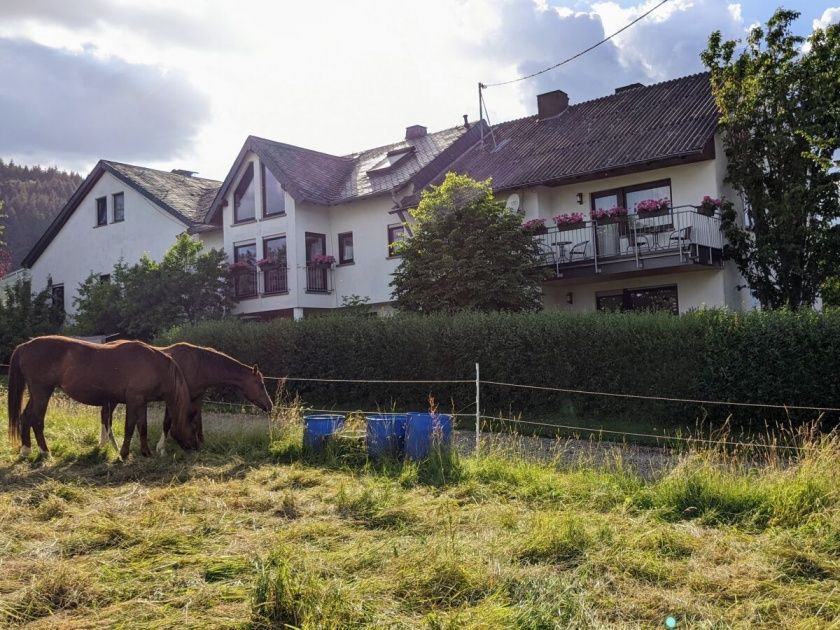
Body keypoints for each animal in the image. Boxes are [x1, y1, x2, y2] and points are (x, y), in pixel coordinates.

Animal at [7, 336, 197, 460]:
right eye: (192, 425)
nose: (195, 447)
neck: (155, 366)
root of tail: (25, 346)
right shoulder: (133, 401)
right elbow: (130, 427)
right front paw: (123, 454)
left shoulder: (142, 402)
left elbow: (142, 427)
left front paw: (146, 453)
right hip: (42, 392)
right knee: (37, 420)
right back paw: (45, 452)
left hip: (37, 393)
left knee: (26, 417)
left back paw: (26, 450)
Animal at [97, 346, 272, 454]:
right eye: (261, 384)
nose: (270, 405)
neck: (200, 365)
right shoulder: (174, 398)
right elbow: (167, 423)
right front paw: (161, 448)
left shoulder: (196, 398)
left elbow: (198, 421)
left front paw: (201, 442)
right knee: (106, 415)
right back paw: (106, 443)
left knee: (105, 415)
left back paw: (106, 444)